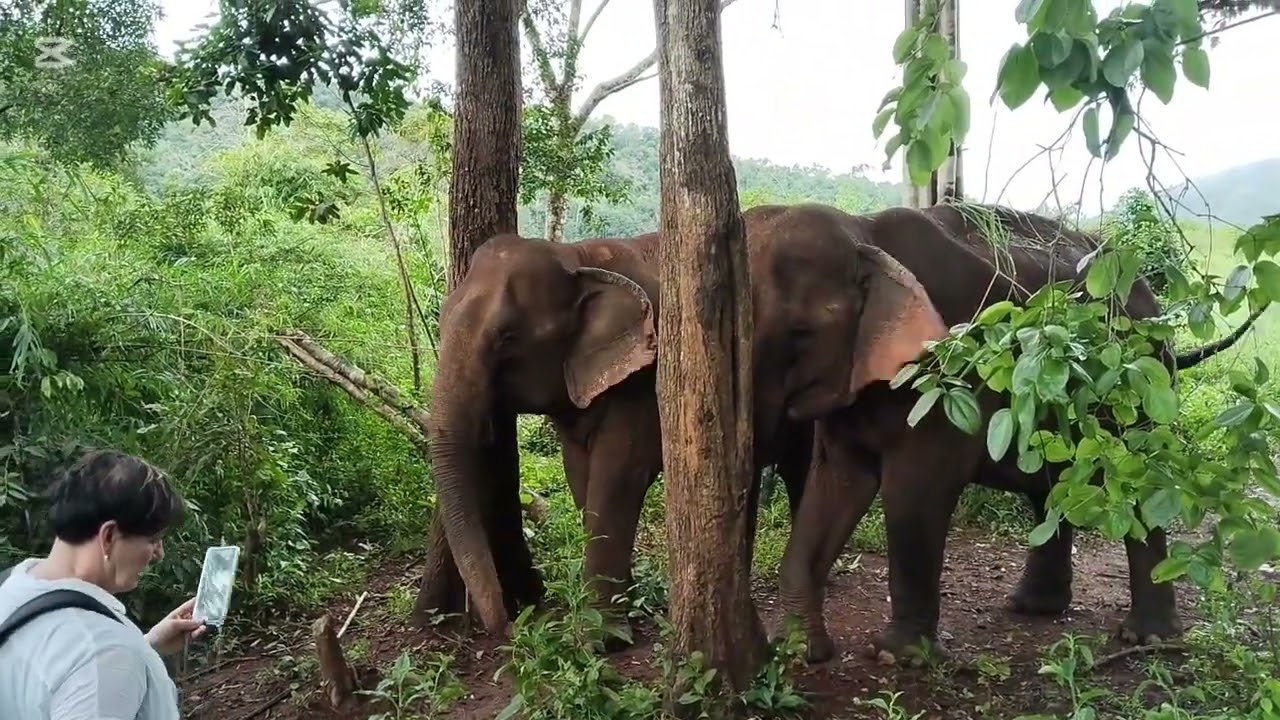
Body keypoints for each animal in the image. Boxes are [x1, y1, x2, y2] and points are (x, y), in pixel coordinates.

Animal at [424, 230, 814, 639]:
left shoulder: (646, 375)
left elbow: (618, 473)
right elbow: (579, 473)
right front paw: (623, 608)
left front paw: (603, 637)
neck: (577, 256)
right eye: (441, 320)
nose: (514, 623)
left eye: (507, 337)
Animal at [737, 201, 1262, 664]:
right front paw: (800, 650)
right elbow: (837, 486)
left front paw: (896, 658)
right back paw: (1034, 608)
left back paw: (1147, 638)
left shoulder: (949, 375)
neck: (862, 231)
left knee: (1137, 482)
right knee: (1051, 489)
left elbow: (914, 492)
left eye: (800, 334)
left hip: (1143, 385)